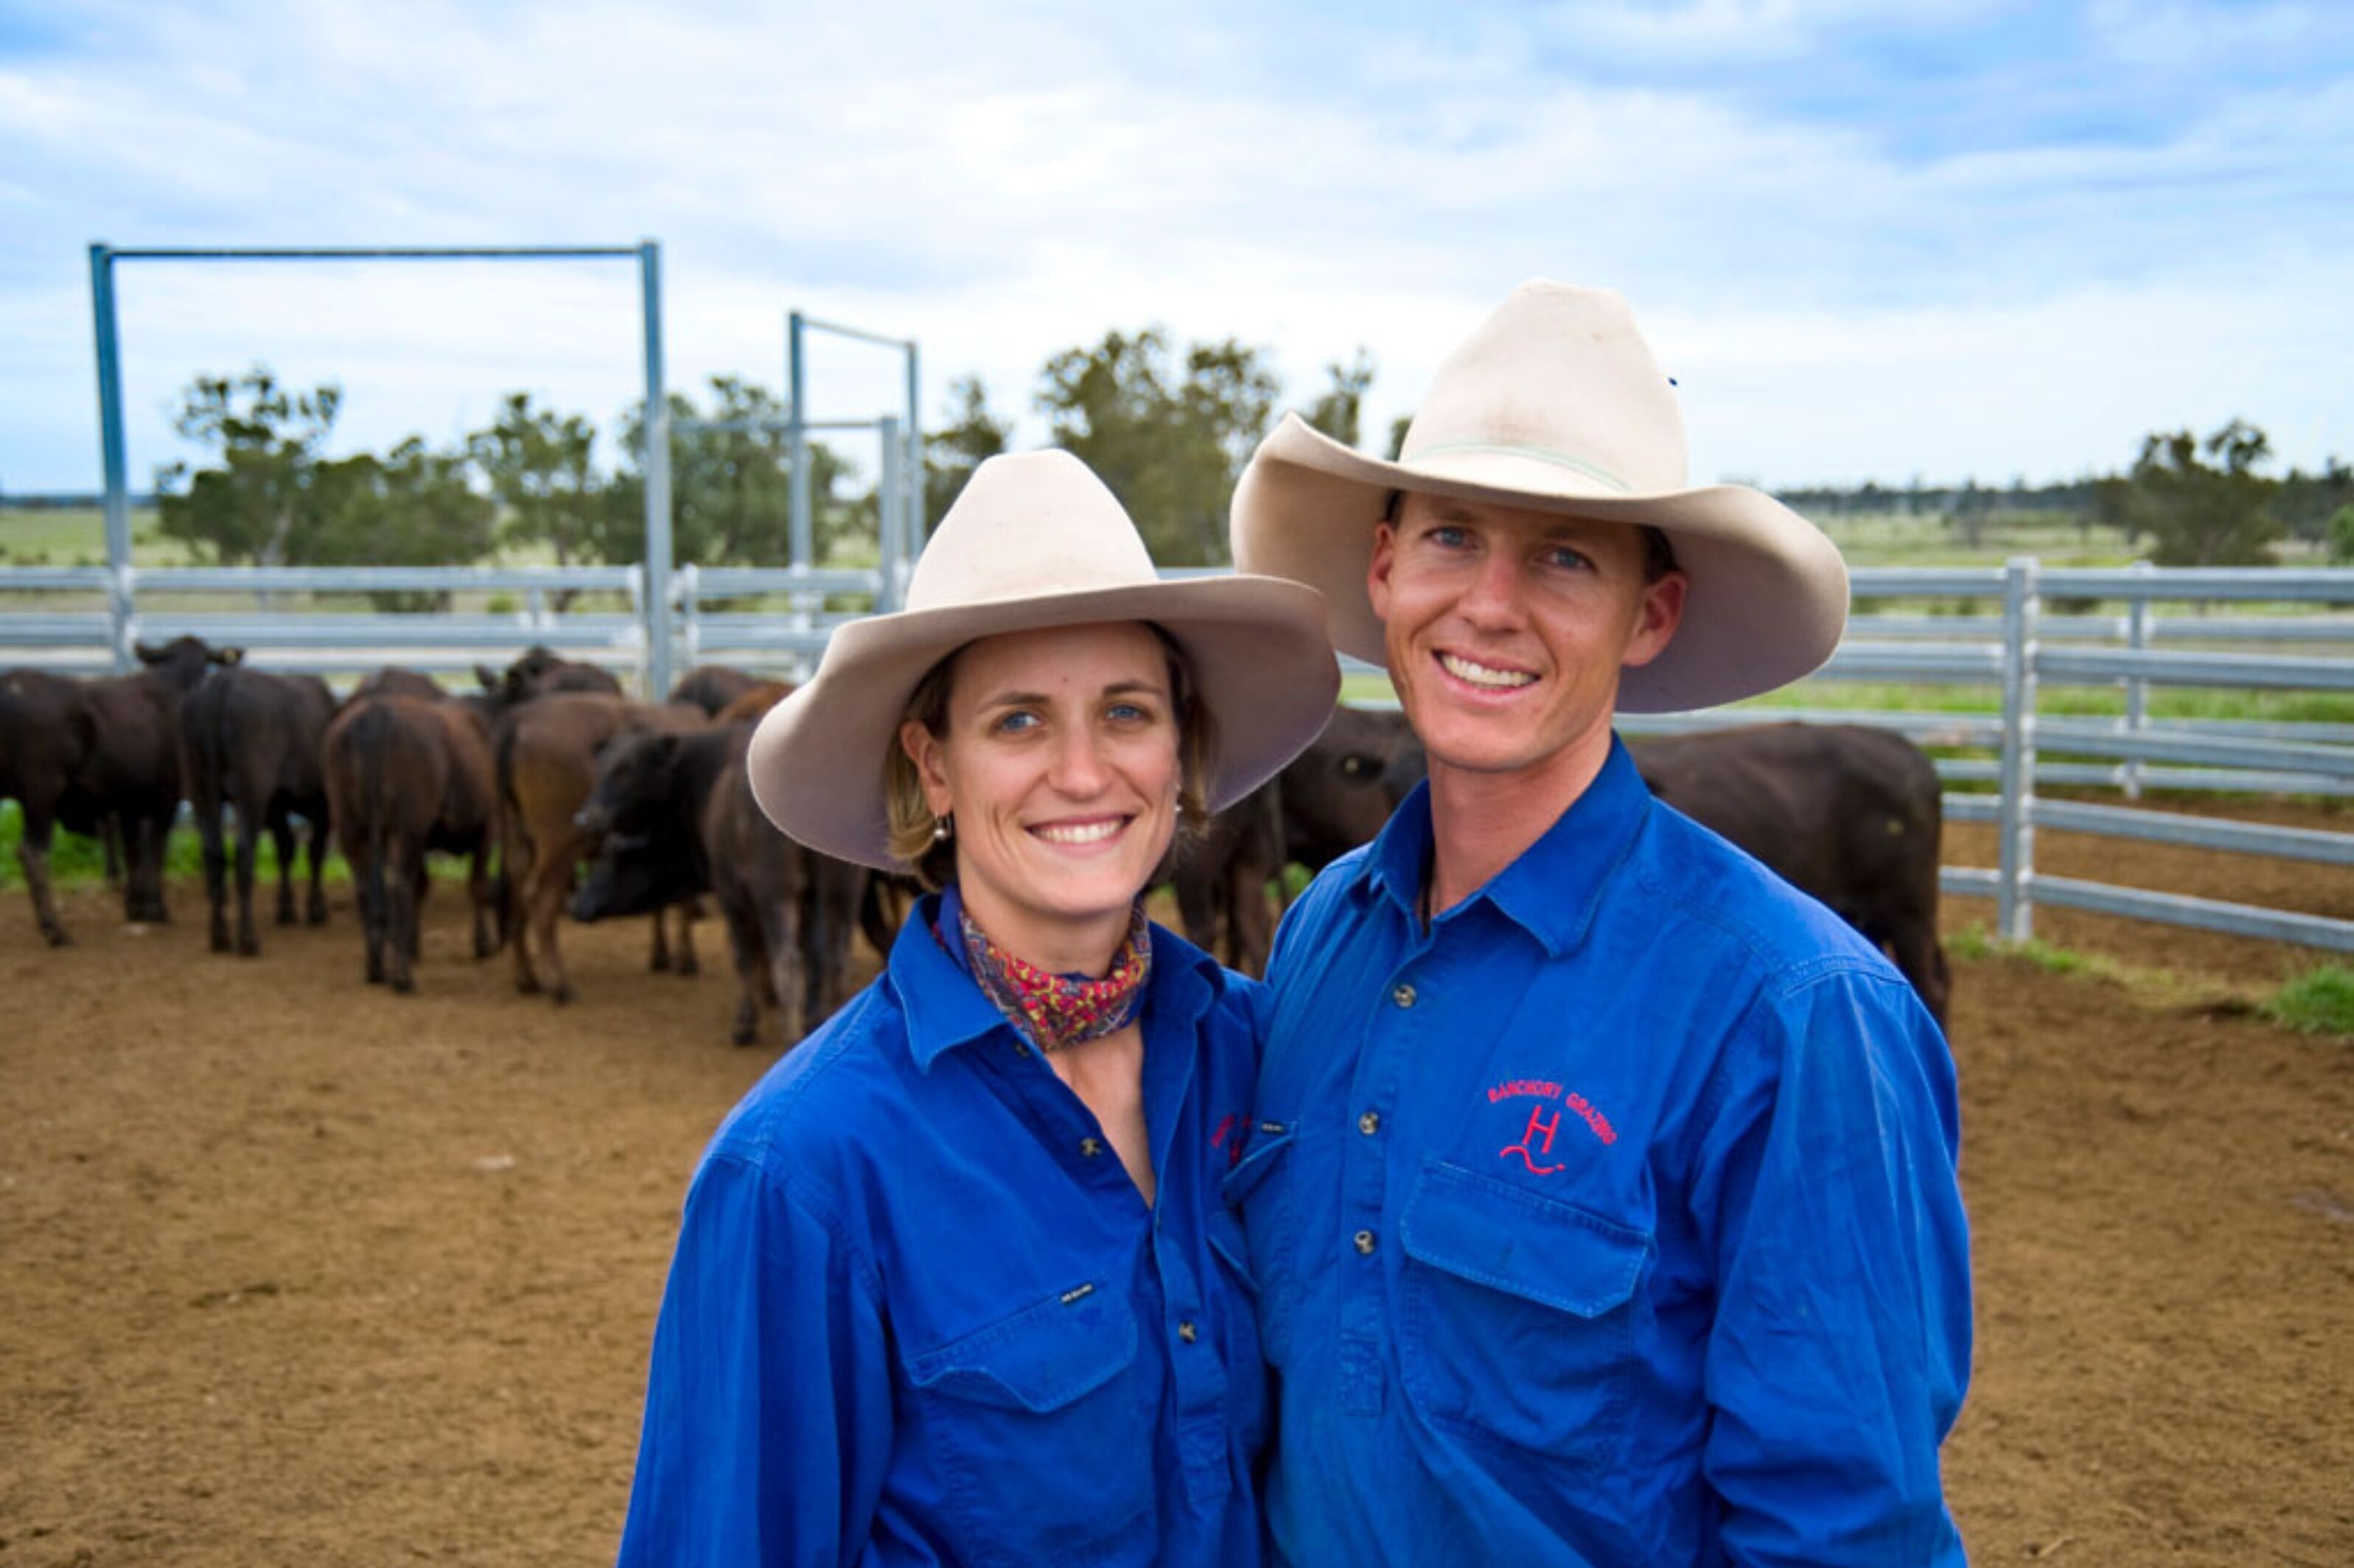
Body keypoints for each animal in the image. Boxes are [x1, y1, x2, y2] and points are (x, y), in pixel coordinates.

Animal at [1, 637, 230, 943]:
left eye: (206, 663)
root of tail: (11, 682)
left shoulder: (128, 802)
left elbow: (133, 851)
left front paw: (135, 907)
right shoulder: (165, 798)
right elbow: (156, 850)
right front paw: (157, 909)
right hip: (41, 795)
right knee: (33, 854)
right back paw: (55, 930)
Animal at [179, 660, 339, 956]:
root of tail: (221, 682)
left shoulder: (275, 807)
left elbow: (286, 849)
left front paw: (286, 908)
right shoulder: (320, 807)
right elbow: (314, 852)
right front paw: (315, 909)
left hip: (201, 793)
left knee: (213, 855)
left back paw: (219, 936)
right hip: (250, 795)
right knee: (244, 855)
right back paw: (248, 939)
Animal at [320, 694, 501, 993]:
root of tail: (376, 712)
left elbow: (424, 885)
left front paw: (412, 944)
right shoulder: (486, 827)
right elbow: (476, 884)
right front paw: (483, 944)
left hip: (351, 827)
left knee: (366, 887)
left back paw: (376, 968)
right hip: (404, 830)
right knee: (399, 885)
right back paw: (403, 977)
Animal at [498, 692, 708, 1004]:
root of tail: (520, 717)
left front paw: (661, 955)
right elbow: (682, 898)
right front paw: (686, 959)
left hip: (519, 837)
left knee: (516, 895)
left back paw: (527, 978)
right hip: (560, 842)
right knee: (540, 897)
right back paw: (559, 984)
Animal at [572, 722, 864, 1046]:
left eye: (626, 771)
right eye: (601, 767)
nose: (585, 819)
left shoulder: (731, 895)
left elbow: (744, 956)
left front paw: (745, 1023)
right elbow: (791, 954)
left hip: (778, 895)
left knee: (788, 960)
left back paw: (792, 1033)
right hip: (832, 892)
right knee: (827, 954)